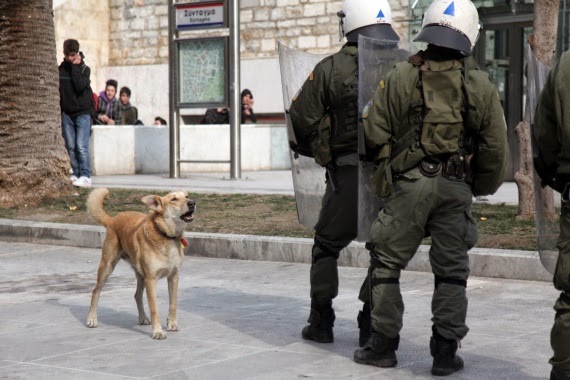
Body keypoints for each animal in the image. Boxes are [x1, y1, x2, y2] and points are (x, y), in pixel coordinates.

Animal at [85, 189, 195, 340]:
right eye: (174, 199)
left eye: (187, 196)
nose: (192, 203)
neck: (166, 235)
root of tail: (113, 219)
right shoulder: (151, 279)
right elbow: (154, 309)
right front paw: (158, 331)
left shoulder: (174, 276)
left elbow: (173, 303)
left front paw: (172, 324)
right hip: (107, 266)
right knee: (96, 291)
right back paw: (92, 319)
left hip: (140, 275)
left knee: (137, 295)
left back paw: (142, 318)